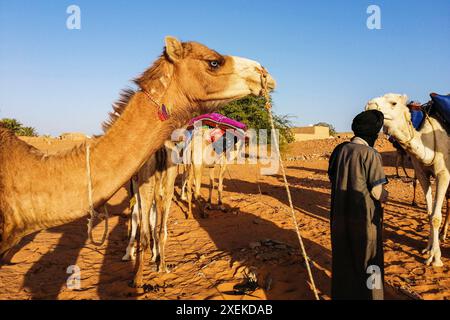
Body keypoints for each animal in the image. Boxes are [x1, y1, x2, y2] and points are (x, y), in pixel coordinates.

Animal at [366, 93, 450, 268]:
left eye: (393, 103)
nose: (369, 105)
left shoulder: (443, 173)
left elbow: (436, 217)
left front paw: (436, 258)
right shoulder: (422, 173)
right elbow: (430, 214)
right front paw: (428, 249)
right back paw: (443, 234)